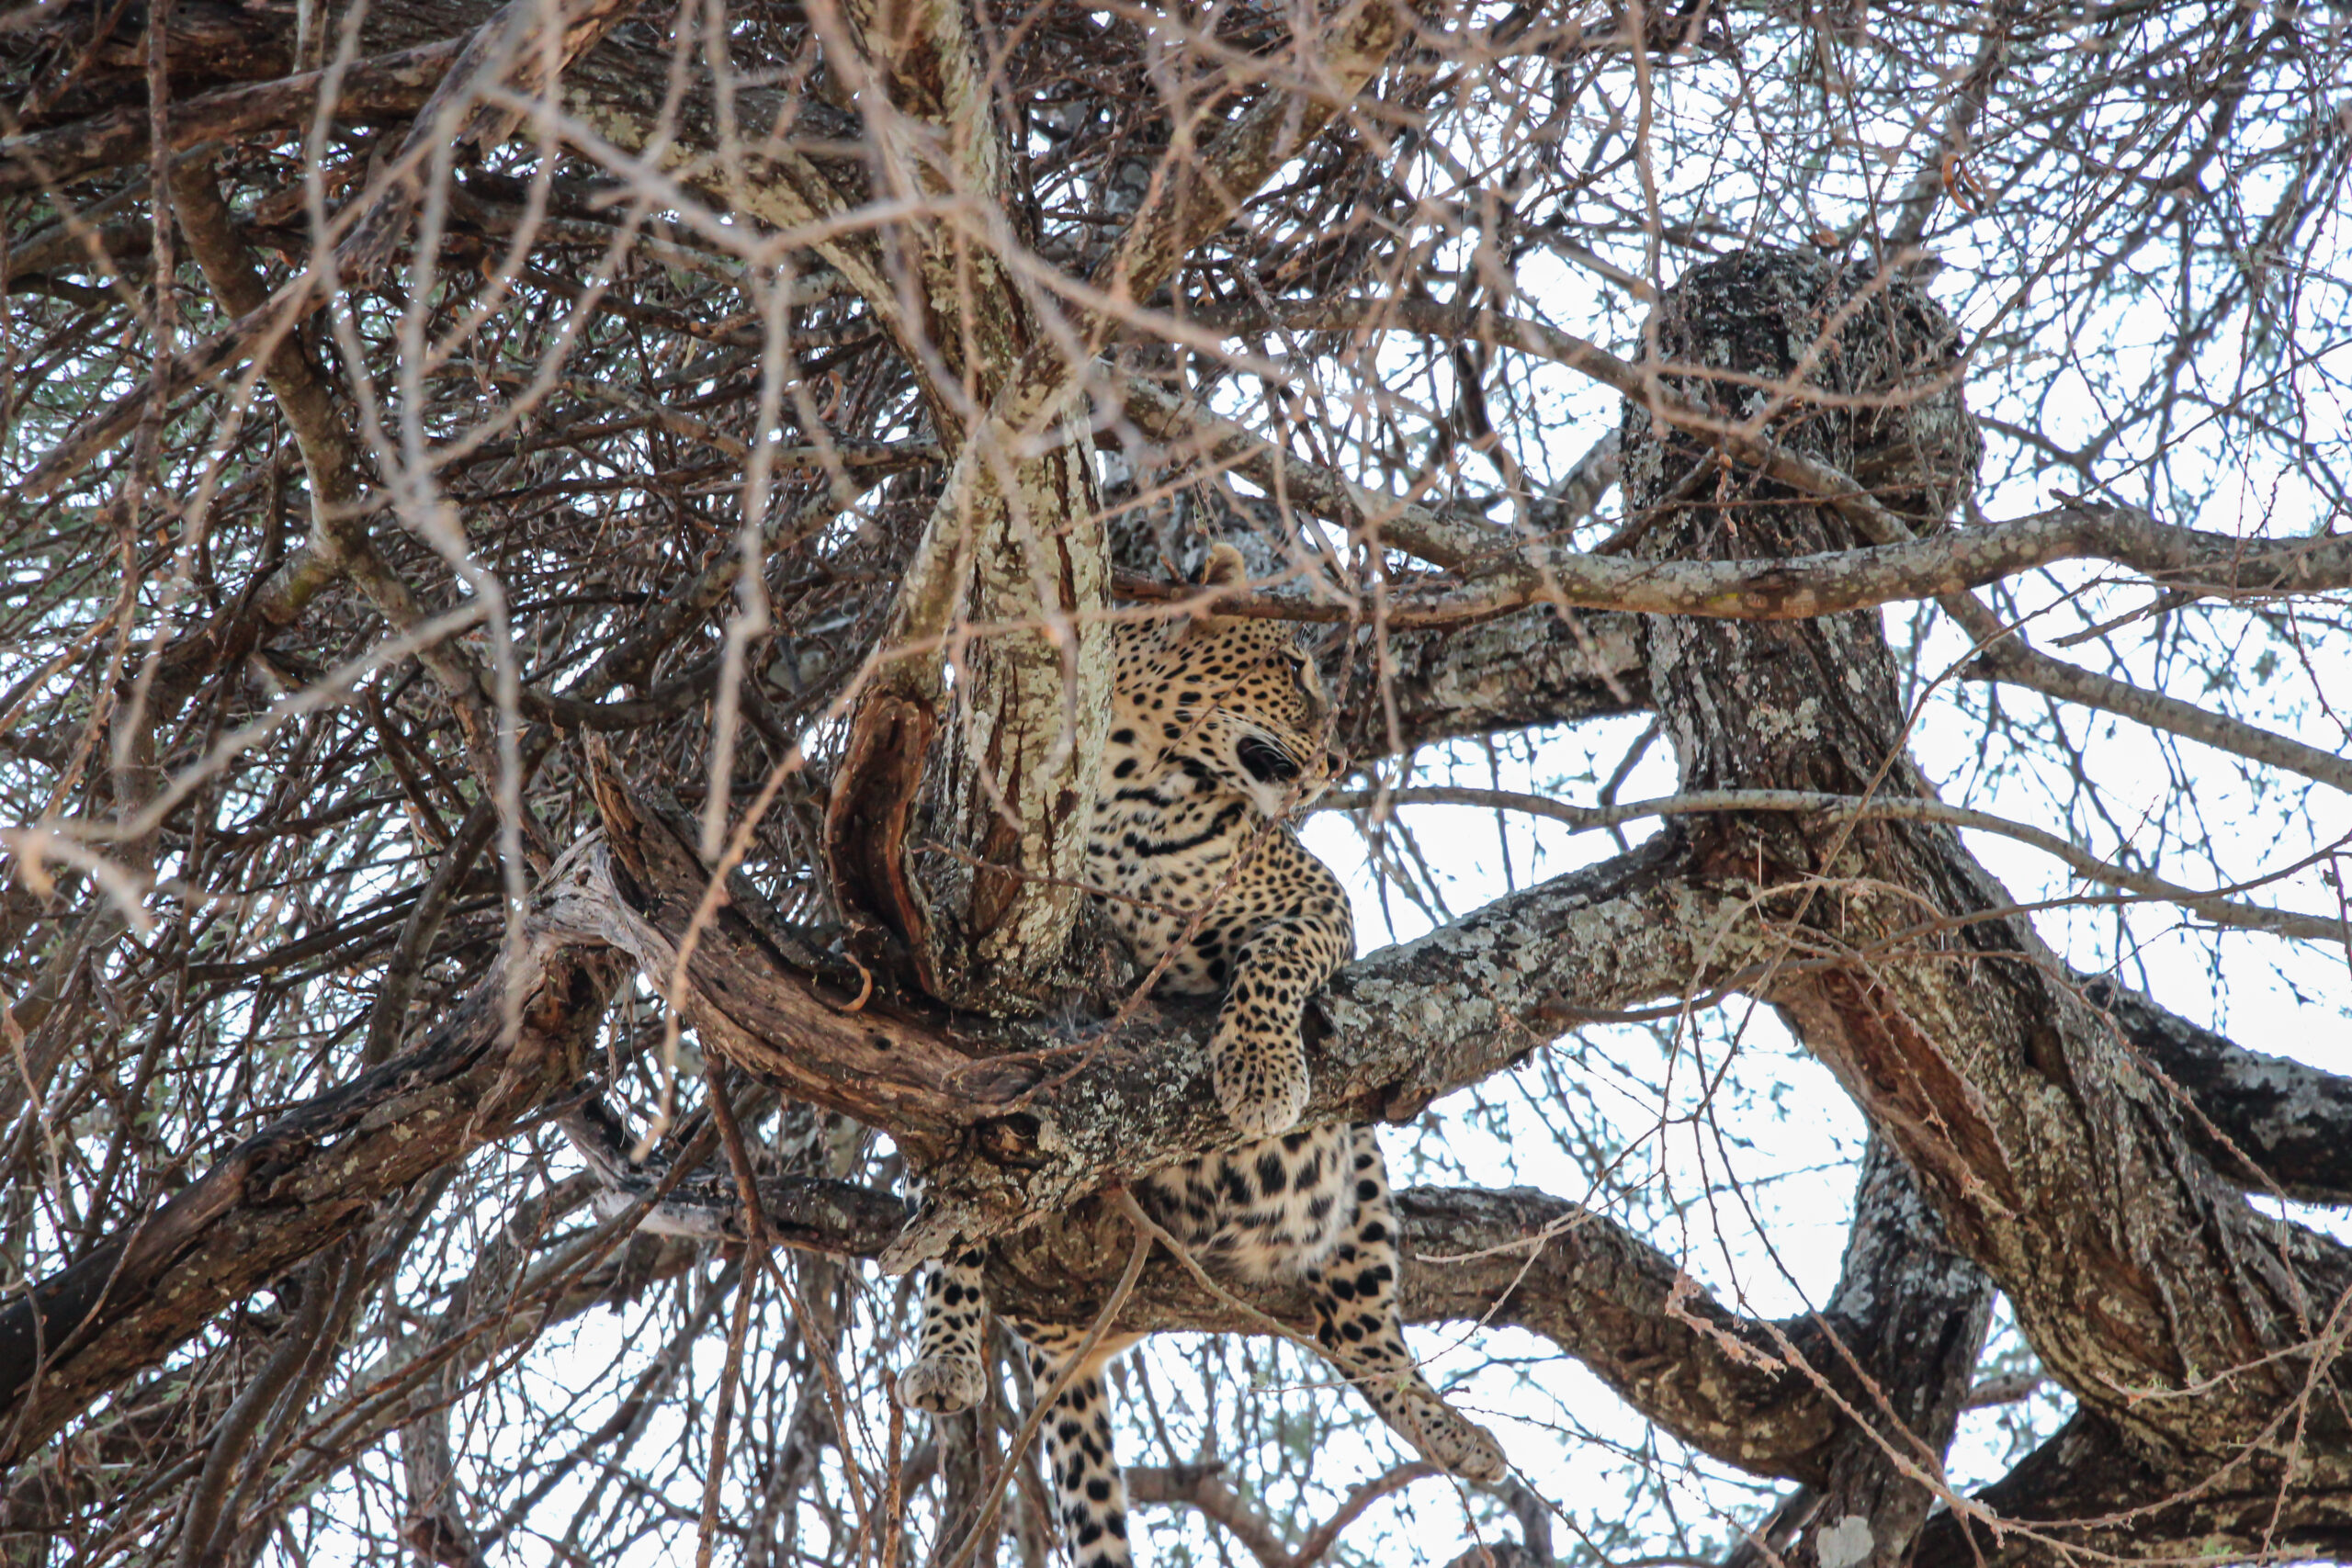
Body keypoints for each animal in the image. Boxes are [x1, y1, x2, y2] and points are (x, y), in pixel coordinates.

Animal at [898, 543, 1505, 1568]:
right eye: (1293, 668)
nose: (1339, 758)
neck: (1136, 778)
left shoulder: (1316, 902)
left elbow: (1269, 964)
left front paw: (1259, 1074)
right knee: (960, 1212)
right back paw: (942, 1352)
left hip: (1360, 1168)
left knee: (1361, 1335)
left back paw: (1458, 1433)